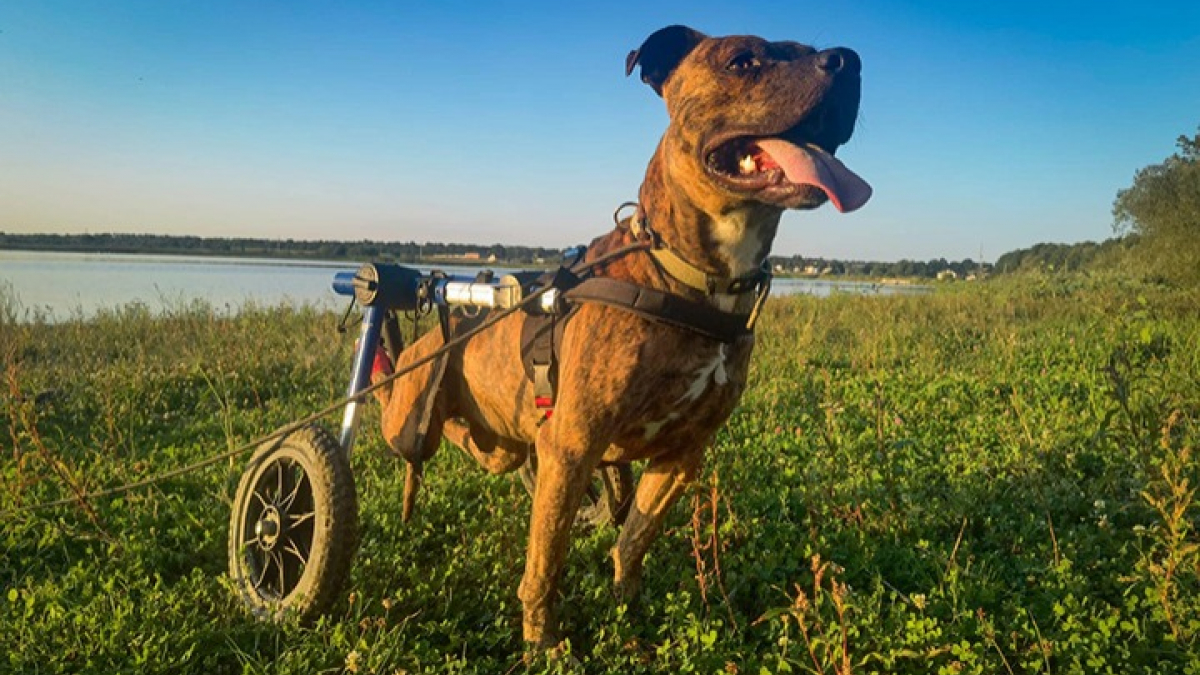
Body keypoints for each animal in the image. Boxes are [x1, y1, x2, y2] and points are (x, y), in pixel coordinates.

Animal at [369, 24, 868, 648]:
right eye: (741, 60)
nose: (848, 61)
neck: (690, 275)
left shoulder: (681, 455)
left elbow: (634, 536)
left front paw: (627, 607)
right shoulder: (572, 446)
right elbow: (546, 561)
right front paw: (544, 644)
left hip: (504, 448)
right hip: (413, 423)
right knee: (411, 429)